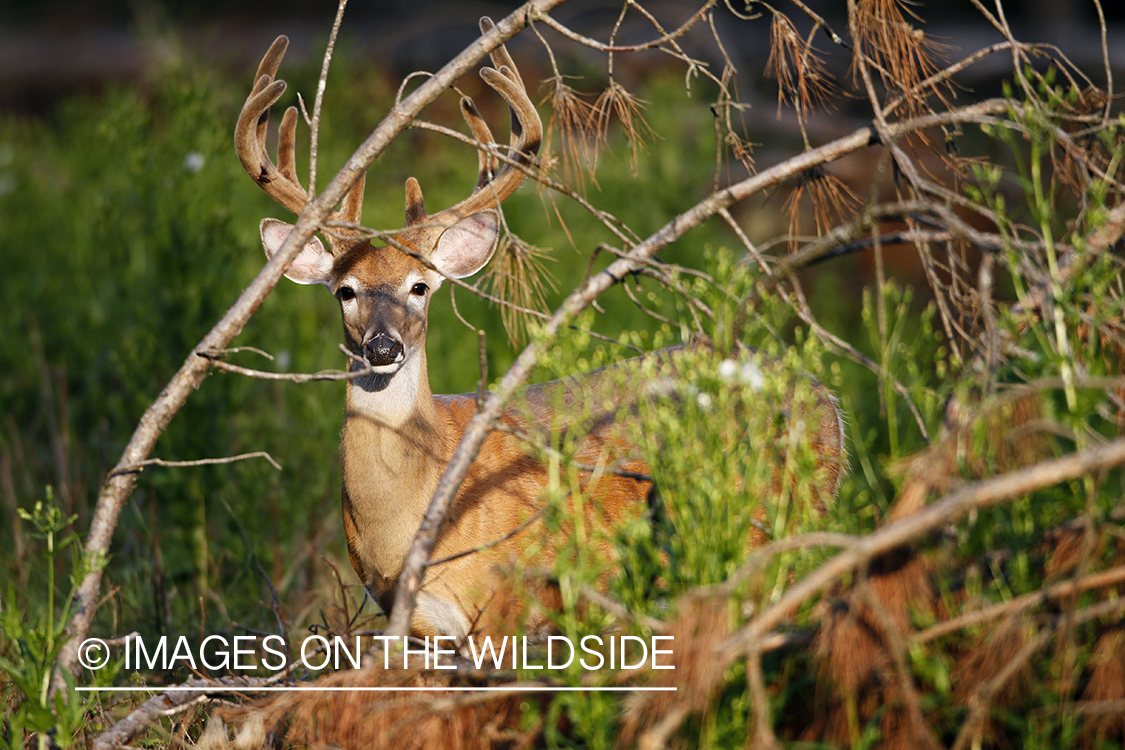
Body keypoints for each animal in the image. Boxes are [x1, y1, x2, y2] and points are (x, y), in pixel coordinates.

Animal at [237, 24, 846, 647]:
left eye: (420, 287)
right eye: (345, 290)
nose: (383, 348)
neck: (406, 521)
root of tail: (825, 397)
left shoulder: (506, 598)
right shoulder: (415, 623)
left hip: (780, 519)